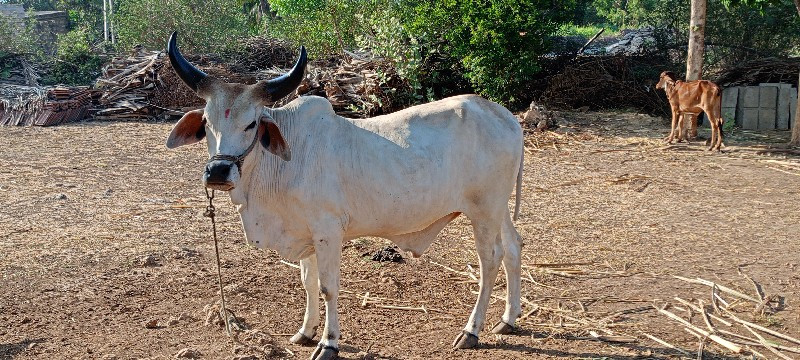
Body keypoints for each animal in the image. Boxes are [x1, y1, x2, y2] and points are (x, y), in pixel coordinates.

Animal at [165, 32, 524, 358]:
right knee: (513, 247)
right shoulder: (304, 232)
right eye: (207, 122)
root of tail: (503, 115)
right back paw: (508, 319)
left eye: (251, 124)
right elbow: (308, 282)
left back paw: (471, 331)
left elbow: (327, 287)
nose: (218, 172)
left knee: (490, 260)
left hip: (484, 211)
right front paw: (305, 332)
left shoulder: (328, 231)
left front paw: (328, 343)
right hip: (498, 209)